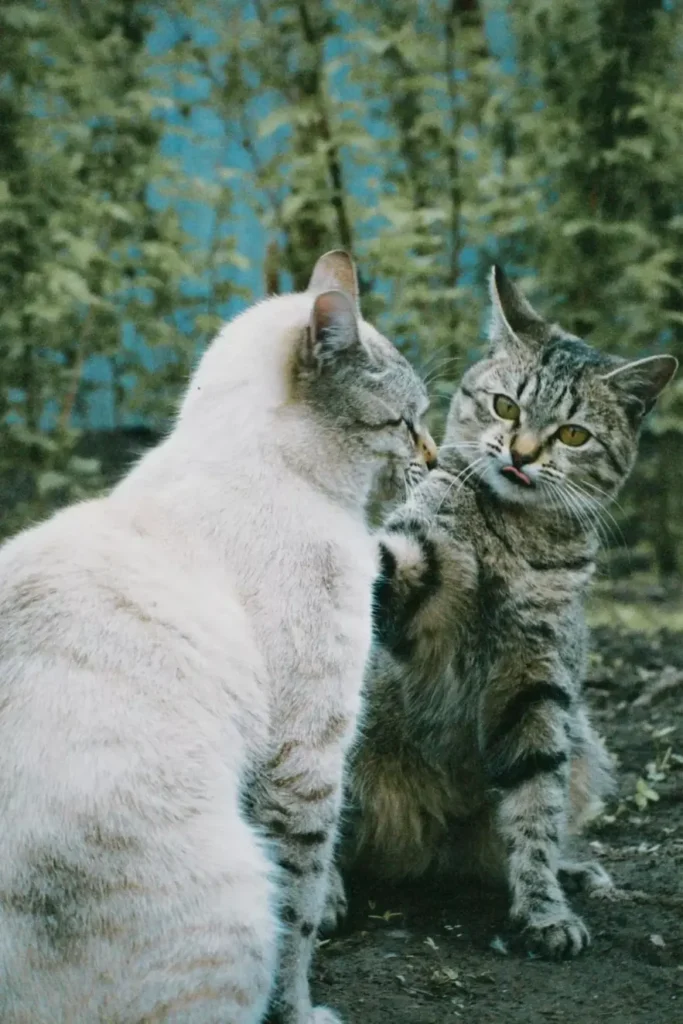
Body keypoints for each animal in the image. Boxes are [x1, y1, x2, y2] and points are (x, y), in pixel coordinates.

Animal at [0, 249, 438, 1024]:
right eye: (406, 421)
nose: (439, 456)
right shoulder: (307, 755)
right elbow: (302, 911)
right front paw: (302, 1014)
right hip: (235, 904)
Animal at [331, 264, 679, 958]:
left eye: (573, 434)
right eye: (506, 406)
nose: (520, 453)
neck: (512, 537)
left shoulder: (537, 683)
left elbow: (535, 802)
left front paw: (544, 905)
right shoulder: (411, 592)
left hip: (585, 743)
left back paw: (569, 869)